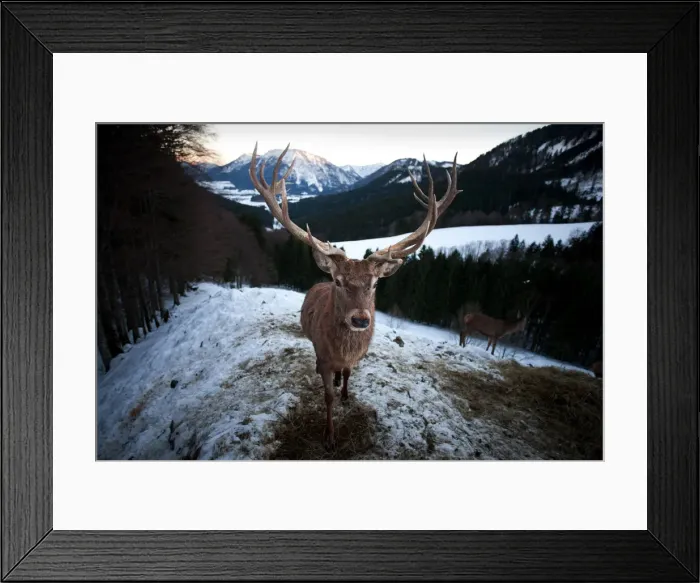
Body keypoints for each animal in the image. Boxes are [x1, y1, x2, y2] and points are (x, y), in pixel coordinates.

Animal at [250, 143, 461, 449]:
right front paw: (329, 436)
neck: (342, 350)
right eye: (338, 281)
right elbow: (327, 395)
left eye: (374, 283)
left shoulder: (353, 359)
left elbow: (348, 374)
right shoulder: (324, 355)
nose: (360, 319)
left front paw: (346, 394)